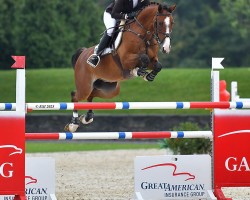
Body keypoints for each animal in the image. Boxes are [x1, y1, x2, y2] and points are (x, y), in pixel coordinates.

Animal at [65, 2, 177, 133]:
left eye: (172, 23)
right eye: (160, 23)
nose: (166, 48)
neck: (144, 35)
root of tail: (82, 54)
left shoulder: (153, 60)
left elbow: (158, 65)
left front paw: (148, 76)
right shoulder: (125, 60)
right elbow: (143, 58)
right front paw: (137, 71)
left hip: (109, 89)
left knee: (91, 95)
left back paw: (87, 117)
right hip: (85, 86)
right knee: (75, 95)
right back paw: (73, 124)